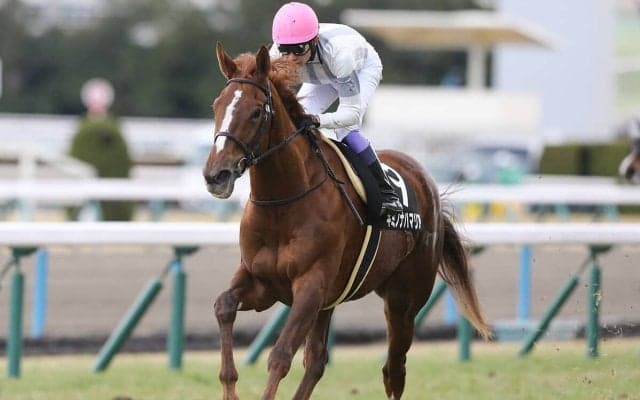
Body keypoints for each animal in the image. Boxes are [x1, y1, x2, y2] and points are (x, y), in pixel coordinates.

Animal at [203, 42, 491, 400]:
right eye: (217, 106)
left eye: (256, 112)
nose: (216, 175)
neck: (282, 205)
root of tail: (428, 183)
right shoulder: (263, 282)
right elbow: (224, 306)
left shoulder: (311, 285)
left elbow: (280, 355)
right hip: (331, 301)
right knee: (317, 361)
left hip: (404, 300)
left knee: (394, 369)